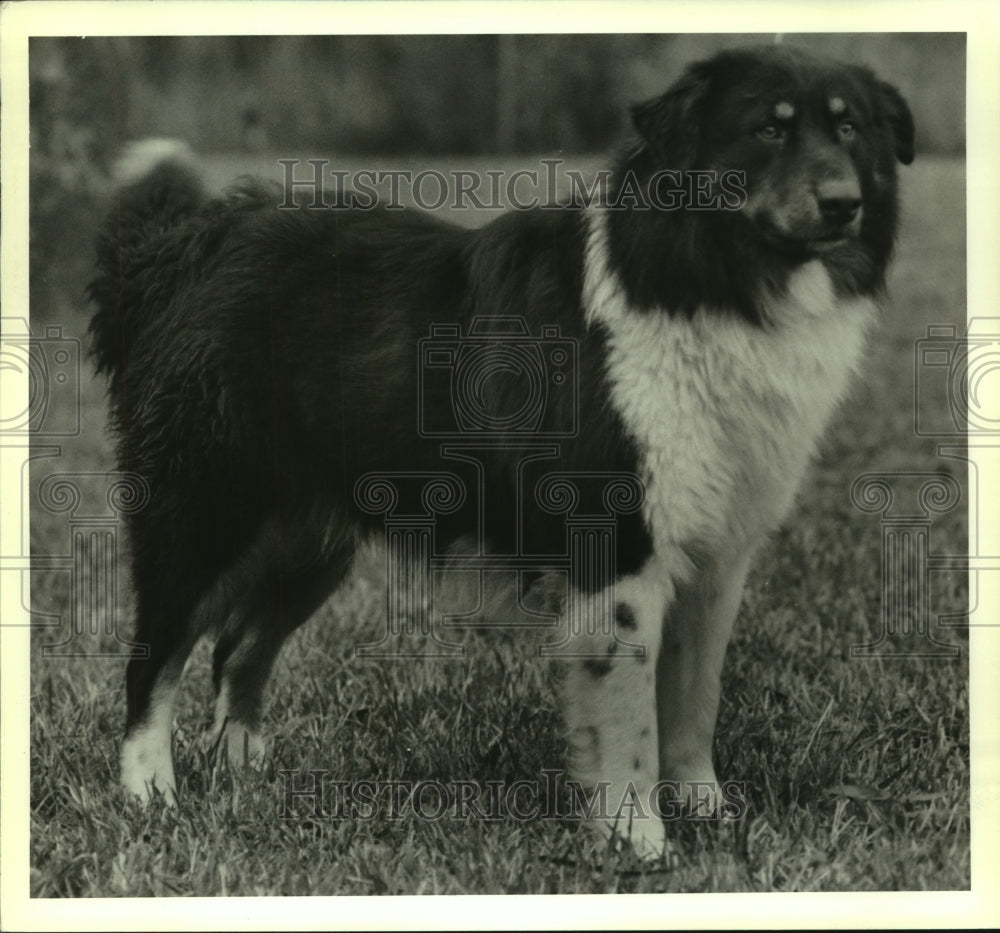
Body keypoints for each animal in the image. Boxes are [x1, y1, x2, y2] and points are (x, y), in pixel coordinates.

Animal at [90, 47, 912, 856]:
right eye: (768, 130)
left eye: (849, 129)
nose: (843, 204)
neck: (704, 284)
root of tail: (189, 247)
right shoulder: (618, 548)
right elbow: (630, 723)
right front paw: (639, 842)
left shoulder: (715, 556)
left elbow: (693, 698)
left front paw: (705, 808)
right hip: (203, 518)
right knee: (153, 660)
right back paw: (151, 794)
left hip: (307, 541)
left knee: (236, 651)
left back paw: (245, 774)